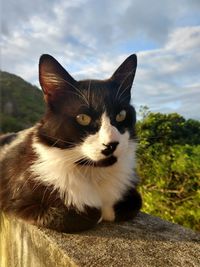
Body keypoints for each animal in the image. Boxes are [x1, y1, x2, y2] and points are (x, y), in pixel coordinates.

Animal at [0, 54, 142, 232]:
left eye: (121, 115)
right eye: (83, 118)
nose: (112, 144)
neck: (93, 172)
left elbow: (133, 203)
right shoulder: (18, 200)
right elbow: (86, 213)